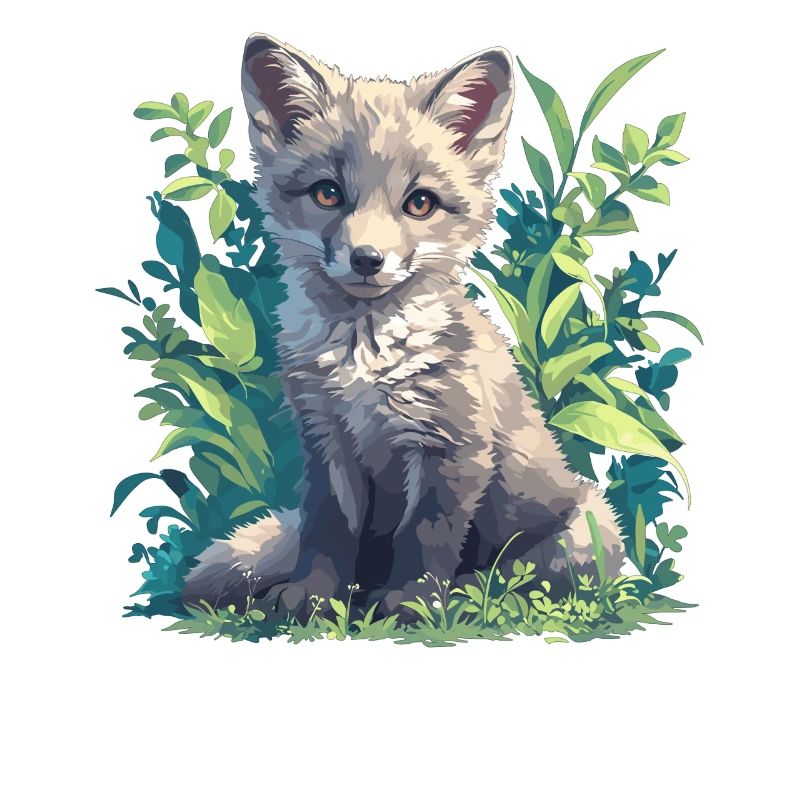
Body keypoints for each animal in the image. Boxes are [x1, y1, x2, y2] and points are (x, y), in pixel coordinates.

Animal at [182, 33, 625, 620]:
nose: (367, 259)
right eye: (327, 193)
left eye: (420, 203)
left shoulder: (452, 447)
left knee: (523, 580)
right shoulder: (325, 441)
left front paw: (413, 604)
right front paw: (314, 595)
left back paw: (474, 595)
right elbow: (327, 530)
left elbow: (426, 535)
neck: (363, 359)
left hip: (582, 531)